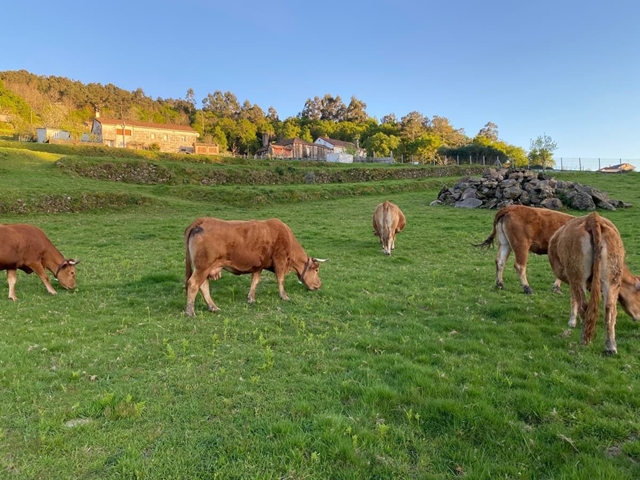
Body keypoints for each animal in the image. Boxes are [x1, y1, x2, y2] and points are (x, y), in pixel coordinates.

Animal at [184, 217, 324, 316]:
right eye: (317, 270)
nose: (319, 285)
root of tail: (204, 220)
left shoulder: (259, 265)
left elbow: (255, 281)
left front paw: (251, 298)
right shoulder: (280, 260)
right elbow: (280, 279)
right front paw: (284, 296)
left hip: (205, 268)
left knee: (203, 285)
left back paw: (213, 307)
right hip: (203, 267)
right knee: (193, 284)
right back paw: (190, 311)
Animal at [548, 212, 640, 354]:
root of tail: (593, 217)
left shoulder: (572, 279)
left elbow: (574, 299)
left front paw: (572, 321)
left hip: (577, 275)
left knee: (584, 305)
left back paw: (584, 340)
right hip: (611, 278)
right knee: (610, 309)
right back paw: (610, 347)